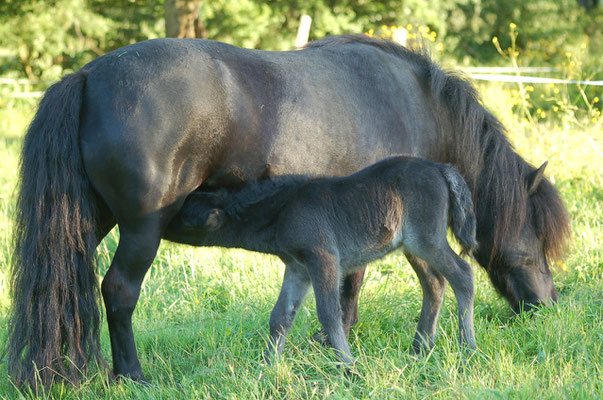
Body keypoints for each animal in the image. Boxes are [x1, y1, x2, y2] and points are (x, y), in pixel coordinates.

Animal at [168, 156, 478, 368]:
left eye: (184, 213)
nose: (163, 219)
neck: (283, 208)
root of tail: (440, 168)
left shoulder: (323, 258)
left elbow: (329, 313)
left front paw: (348, 366)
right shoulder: (298, 268)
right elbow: (280, 317)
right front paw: (268, 366)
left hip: (427, 239)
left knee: (462, 275)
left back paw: (468, 348)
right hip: (412, 247)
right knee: (435, 283)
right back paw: (420, 347)